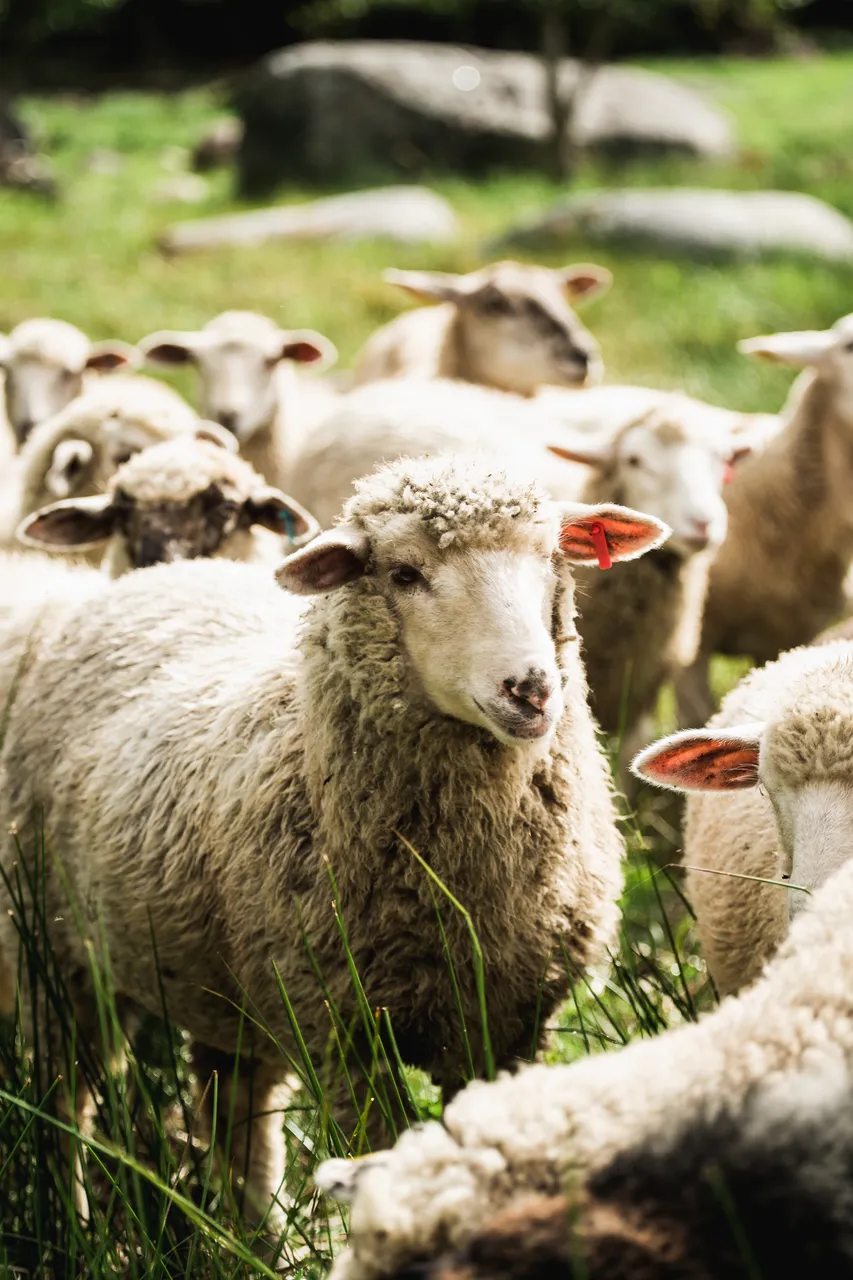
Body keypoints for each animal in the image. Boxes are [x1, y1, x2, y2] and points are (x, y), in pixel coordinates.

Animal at [0, 454, 667, 1222]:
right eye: (404, 573)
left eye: (552, 557)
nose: (531, 689)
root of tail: (166, 574)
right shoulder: (344, 1035)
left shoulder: (508, 1027)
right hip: (53, 949)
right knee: (66, 1098)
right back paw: (67, 1218)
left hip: (228, 991)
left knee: (239, 1118)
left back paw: (255, 1234)